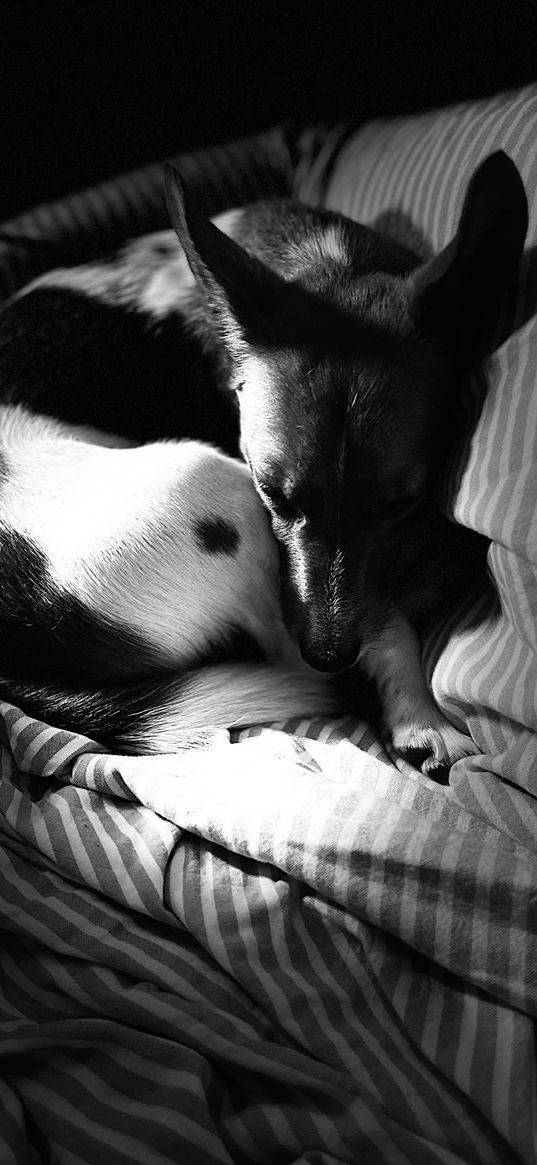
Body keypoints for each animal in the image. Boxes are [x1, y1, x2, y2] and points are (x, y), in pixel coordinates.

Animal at [0, 150, 526, 773]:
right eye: (272, 492)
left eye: (401, 503)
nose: (330, 653)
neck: (321, 254)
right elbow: (386, 624)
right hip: (210, 489)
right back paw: (416, 715)